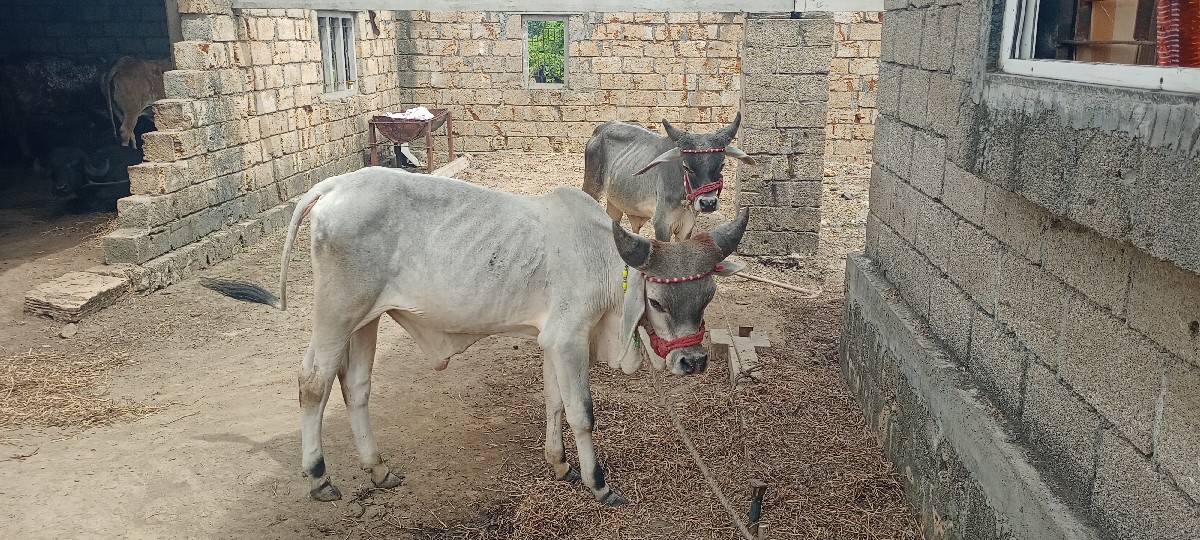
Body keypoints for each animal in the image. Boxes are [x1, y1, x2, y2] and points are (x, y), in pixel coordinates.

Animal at [200, 167, 751, 505]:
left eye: (708, 294)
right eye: (656, 302)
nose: (693, 362)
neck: (603, 261)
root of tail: (336, 185)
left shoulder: (550, 341)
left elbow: (553, 403)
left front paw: (559, 465)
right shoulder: (569, 339)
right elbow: (582, 414)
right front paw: (598, 484)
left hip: (366, 320)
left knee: (354, 388)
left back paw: (378, 469)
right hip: (335, 315)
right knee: (312, 382)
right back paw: (318, 476)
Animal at [582, 113, 755, 242]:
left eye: (721, 165)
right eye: (686, 167)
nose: (708, 203)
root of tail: (601, 127)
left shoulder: (686, 227)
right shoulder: (662, 225)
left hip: (615, 202)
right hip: (591, 188)